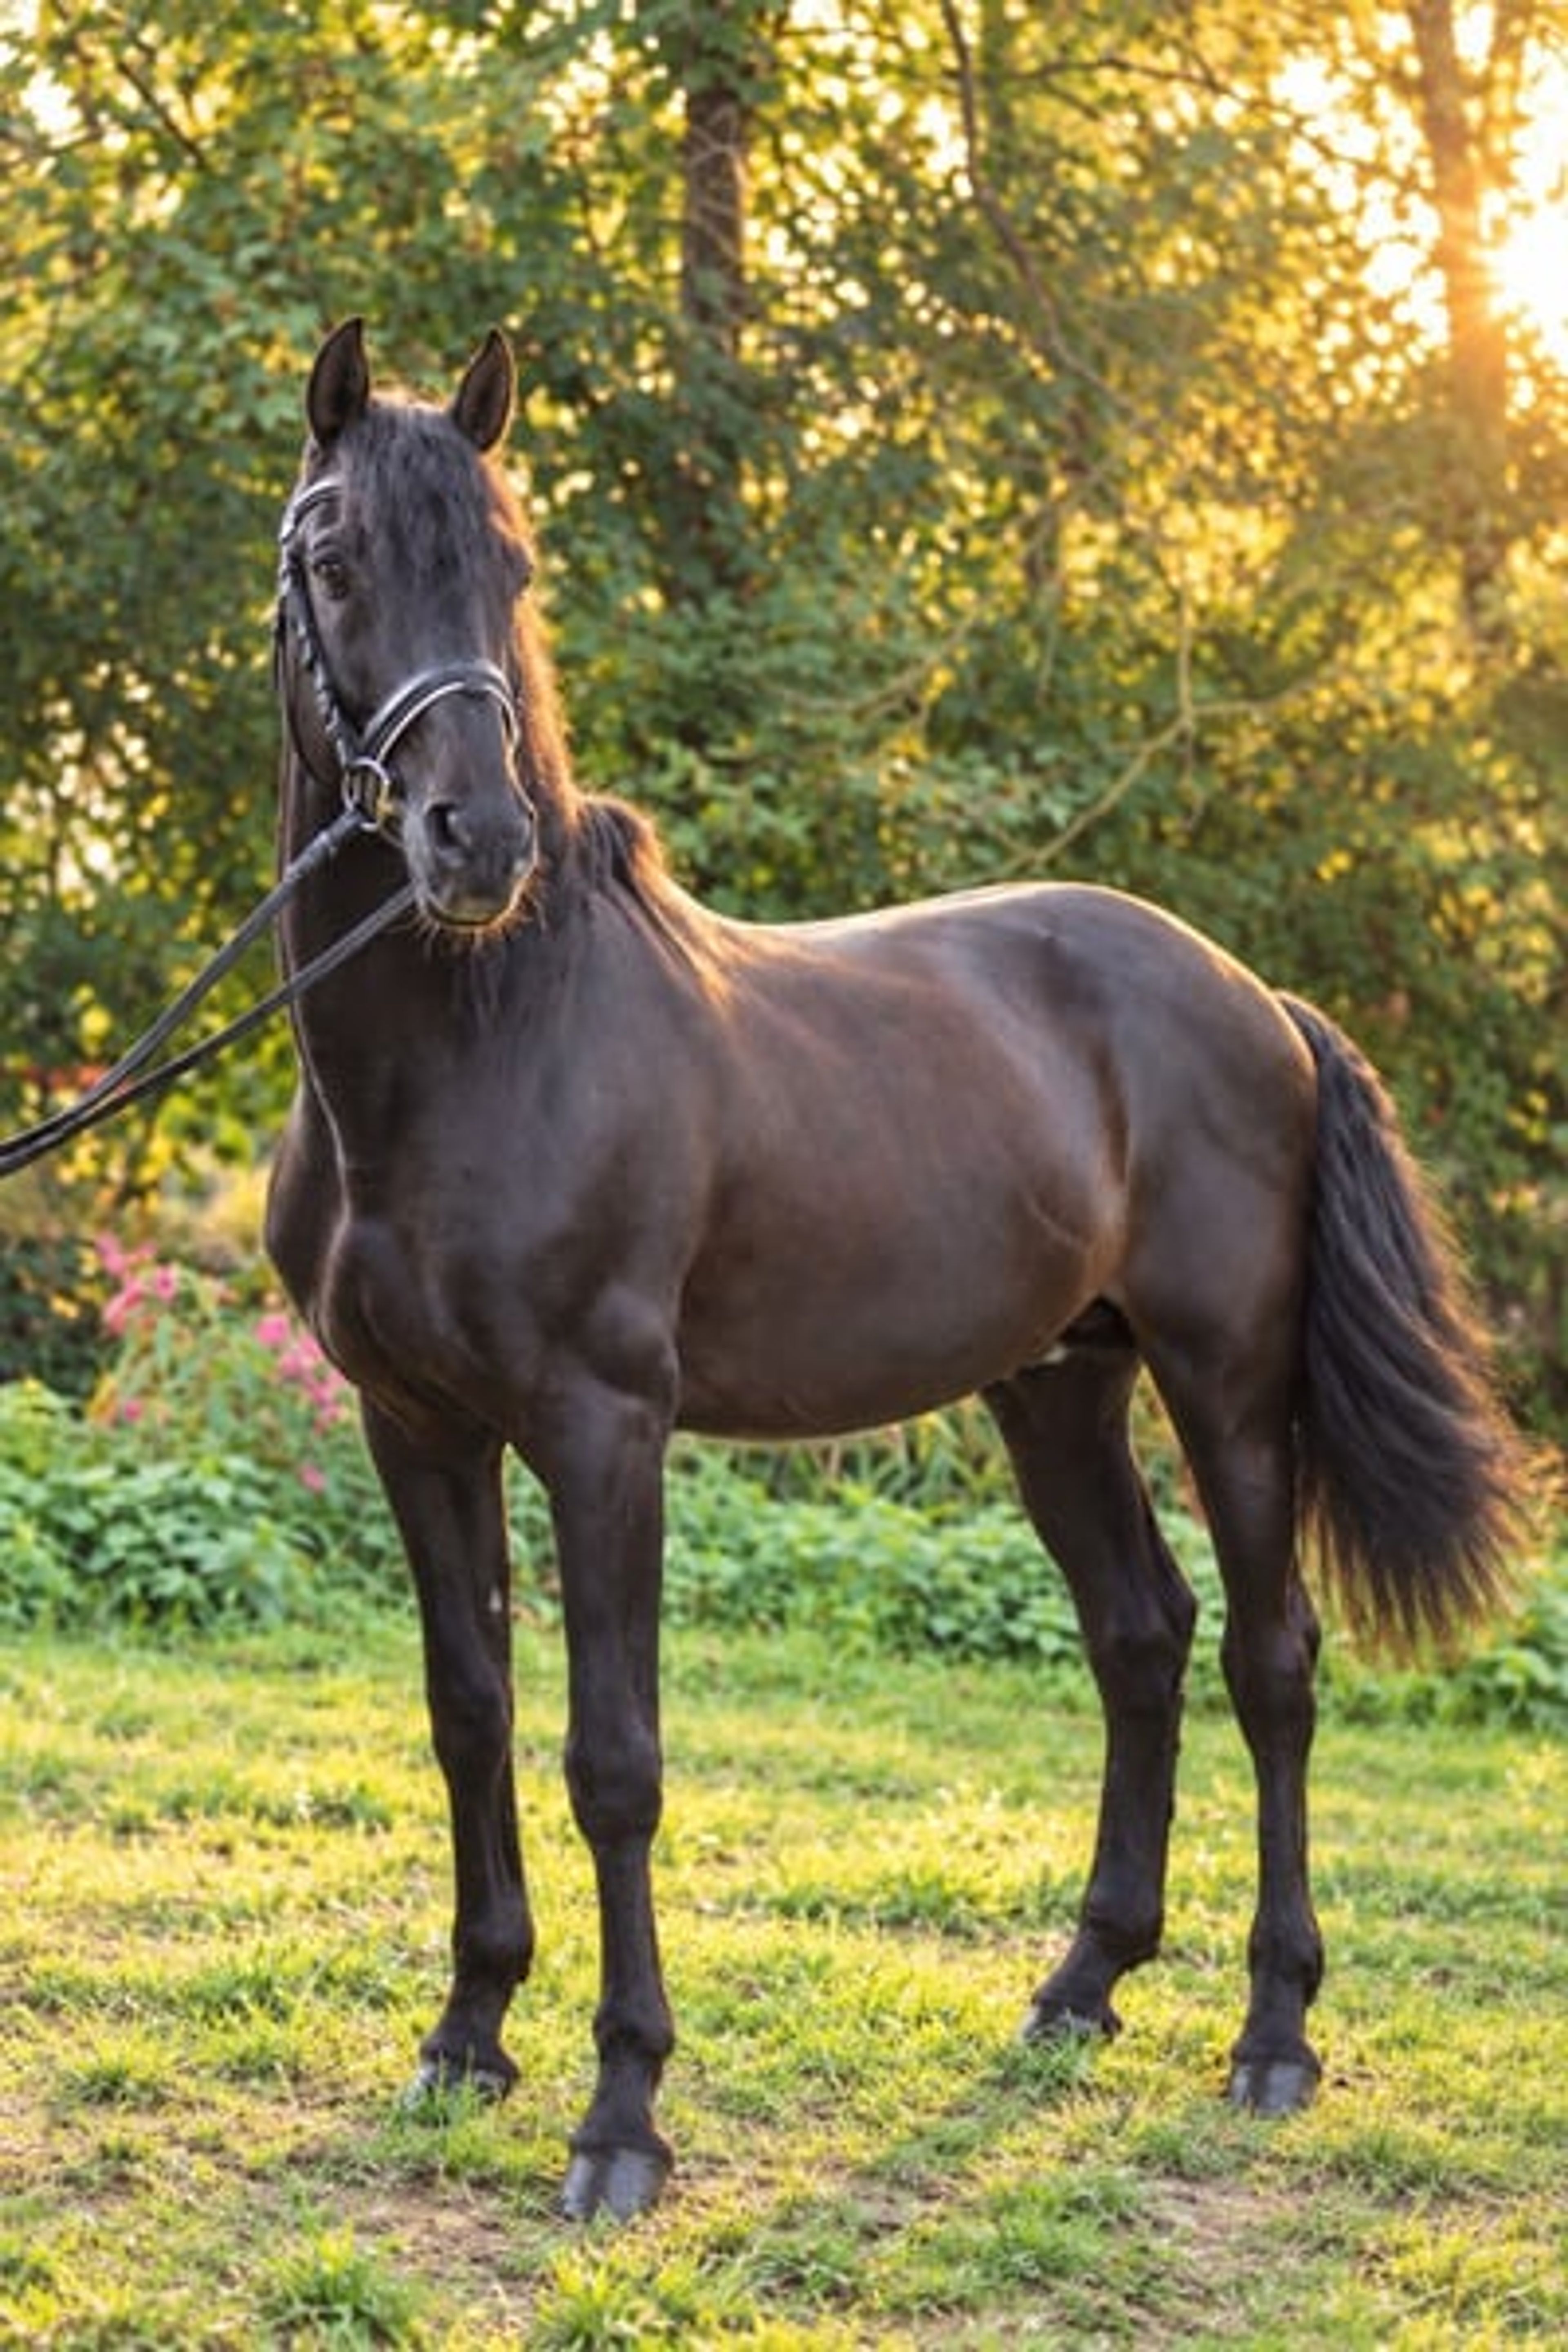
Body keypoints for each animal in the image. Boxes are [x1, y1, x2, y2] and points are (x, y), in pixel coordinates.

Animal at [265, 319, 1522, 2223]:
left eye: (512, 567)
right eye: (337, 563)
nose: (474, 844)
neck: (484, 1042)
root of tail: (1255, 1000)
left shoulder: (601, 1432)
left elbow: (613, 1758)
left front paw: (621, 2115)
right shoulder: (418, 1427)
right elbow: (469, 1712)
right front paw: (468, 2035)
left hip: (1229, 1385)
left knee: (1269, 1661)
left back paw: (1273, 2036)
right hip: (1058, 1384)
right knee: (1140, 1639)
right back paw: (1081, 1986)